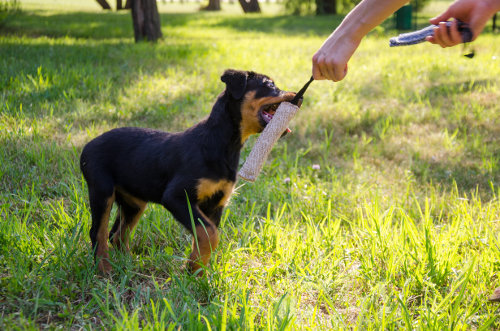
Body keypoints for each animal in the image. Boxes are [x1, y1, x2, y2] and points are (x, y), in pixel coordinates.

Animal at [80, 68, 298, 274]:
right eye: (269, 84)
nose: (298, 95)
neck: (223, 143)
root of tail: (87, 146)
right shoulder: (176, 197)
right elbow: (210, 234)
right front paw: (193, 268)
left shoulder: (215, 204)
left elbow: (204, 235)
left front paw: (196, 272)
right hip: (102, 191)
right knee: (98, 232)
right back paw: (104, 269)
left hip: (134, 203)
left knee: (117, 234)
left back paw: (128, 263)